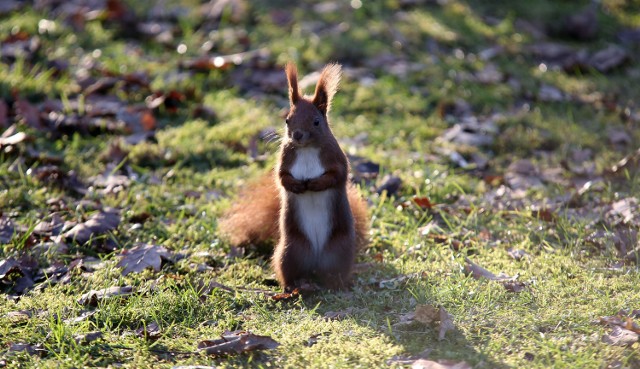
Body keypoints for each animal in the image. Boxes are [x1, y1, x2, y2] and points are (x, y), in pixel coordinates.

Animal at [220, 61, 370, 290]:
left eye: (316, 121)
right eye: (287, 120)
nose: (297, 134)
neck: (306, 148)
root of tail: (316, 261)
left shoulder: (337, 158)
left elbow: (338, 176)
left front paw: (315, 184)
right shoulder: (285, 159)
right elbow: (281, 178)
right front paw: (297, 186)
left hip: (339, 252)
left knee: (333, 272)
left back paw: (335, 284)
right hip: (291, 251)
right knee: (291, 271)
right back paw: (293, 285)